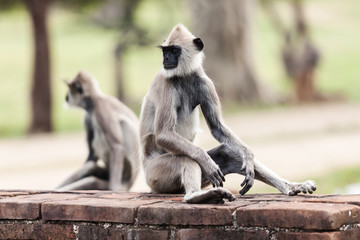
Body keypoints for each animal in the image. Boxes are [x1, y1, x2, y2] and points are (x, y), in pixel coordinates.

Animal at [139, 23, 316, 204]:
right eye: (165, 51)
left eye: (174, 51)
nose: (166, 59)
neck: (184, 76)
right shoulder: (165, 84)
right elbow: (163, 134)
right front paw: (206, 160)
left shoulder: (206, 83)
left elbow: (218, 128)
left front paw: (248, 156)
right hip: (156, 174)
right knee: (185, 157)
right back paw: (195, 196)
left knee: (227, 152)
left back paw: (290, 187)